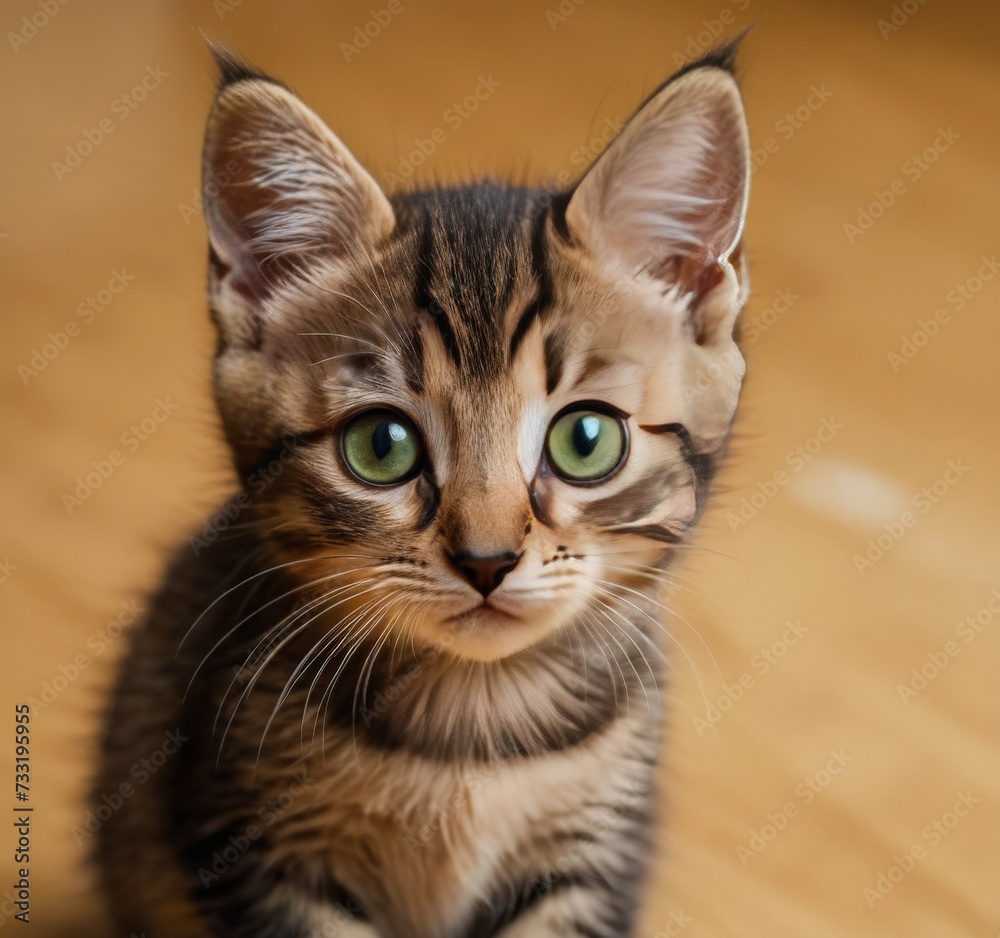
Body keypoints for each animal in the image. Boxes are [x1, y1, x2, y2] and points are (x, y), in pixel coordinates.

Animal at [94, 38, 752, 936]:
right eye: (382, 446)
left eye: (586, 441)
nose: (487, 560)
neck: (474, 719)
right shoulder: (257, 855)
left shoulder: (589, 859)